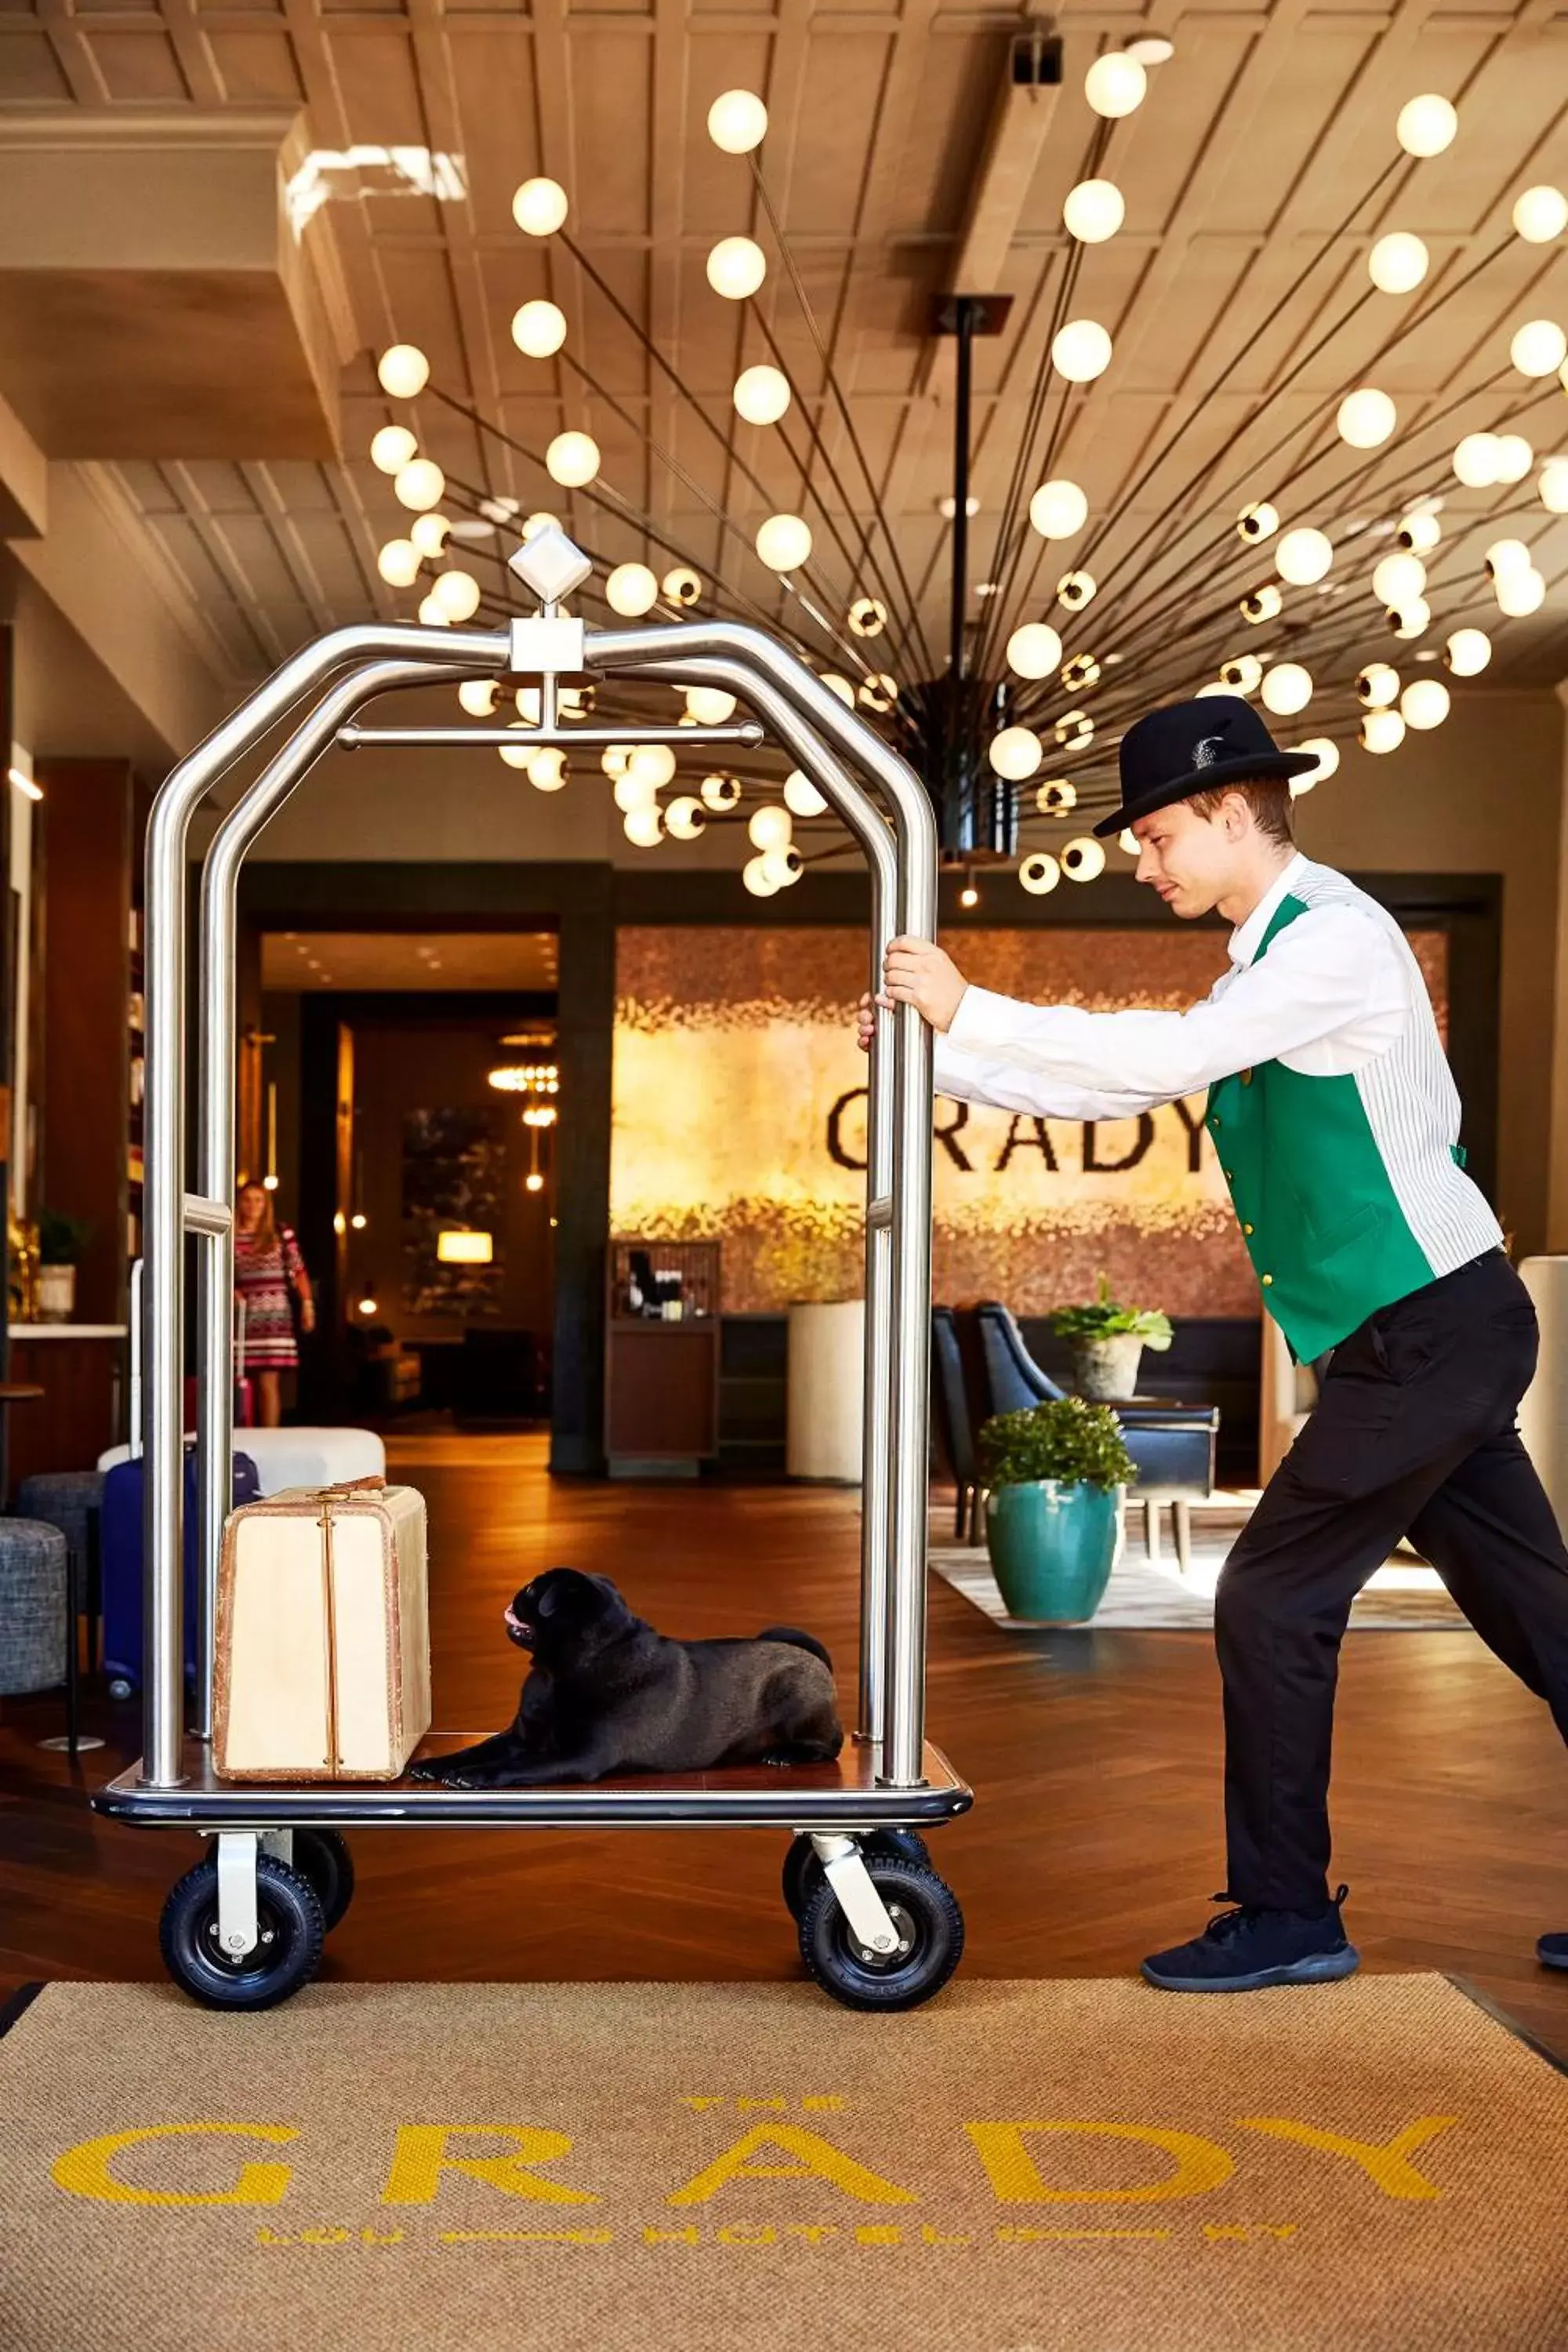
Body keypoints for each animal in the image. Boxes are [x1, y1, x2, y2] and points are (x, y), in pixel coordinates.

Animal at [411, 1571, 841, 1788]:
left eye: (533, 1590)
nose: (518, 1591)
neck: (558, 1671)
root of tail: (806, 1654)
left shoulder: (577, 1755)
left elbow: (519, 1764)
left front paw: (474, 1775)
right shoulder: (520, 1737)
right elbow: (478, 1748)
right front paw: (440, 1764)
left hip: (798, 1699)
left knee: (829, 1745)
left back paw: (788, 1754)